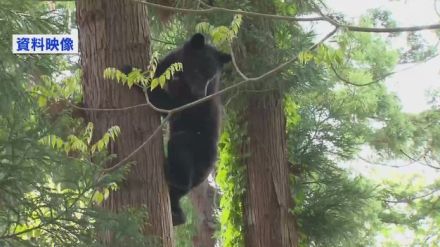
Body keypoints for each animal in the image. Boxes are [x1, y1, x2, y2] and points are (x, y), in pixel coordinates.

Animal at [147, 33, 230, 226]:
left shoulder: (188, 102)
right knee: (177, 193)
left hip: (198, 146)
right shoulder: (169, 66)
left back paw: (174, 176)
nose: (200, 94)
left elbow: (168, 106)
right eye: (198, 71)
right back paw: (177, 214)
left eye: (211, 77)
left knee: (180, 144)